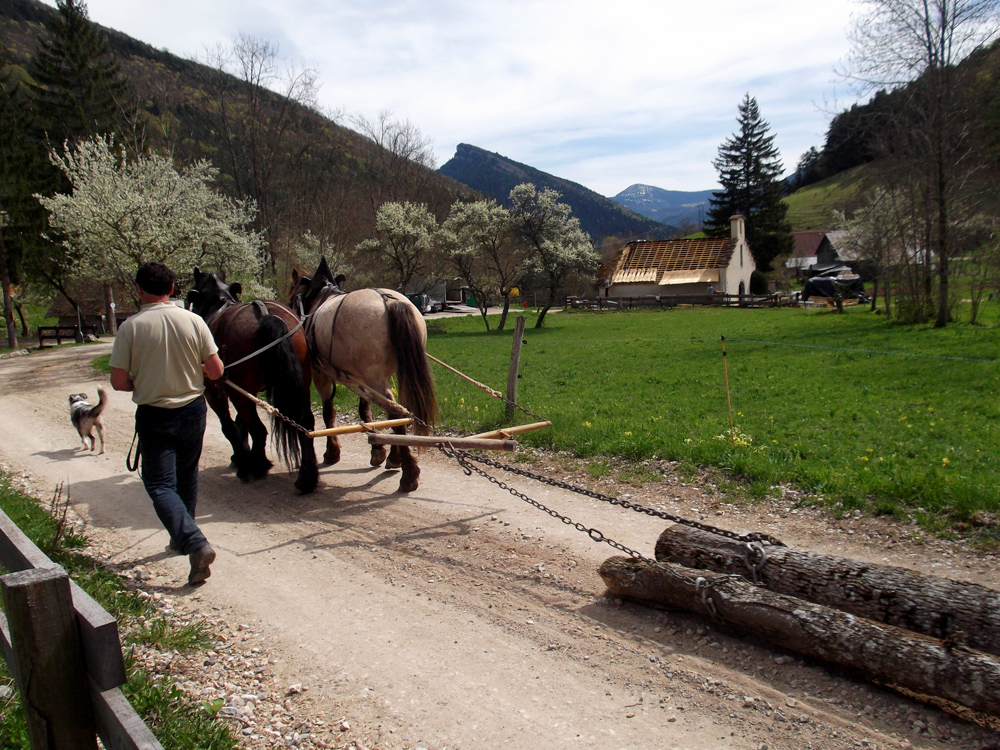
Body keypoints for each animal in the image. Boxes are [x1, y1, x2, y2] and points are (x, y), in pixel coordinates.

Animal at [185, 268, 316, 494]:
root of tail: (265, 315)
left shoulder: (216, 391)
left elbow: (229, 426)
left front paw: (242, 458)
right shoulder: (247, 390)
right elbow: (240, 423)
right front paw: (242, 456)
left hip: (237, 392)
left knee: (259, 429)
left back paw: (255, 467)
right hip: (301, 384)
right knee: (305, 423)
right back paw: (307, 478)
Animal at [286, 258, 434, 494]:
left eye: (292, 296)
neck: (320, 297)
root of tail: (389, 301)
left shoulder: (320, 373)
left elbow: (328, 412)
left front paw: (332, 452)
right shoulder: (359, 377)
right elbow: (366, 410)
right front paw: (379, 451)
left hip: (374, 376)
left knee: (395, 412)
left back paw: (409, 475)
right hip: (393, 374)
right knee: (398, 410)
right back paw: (398, 459)